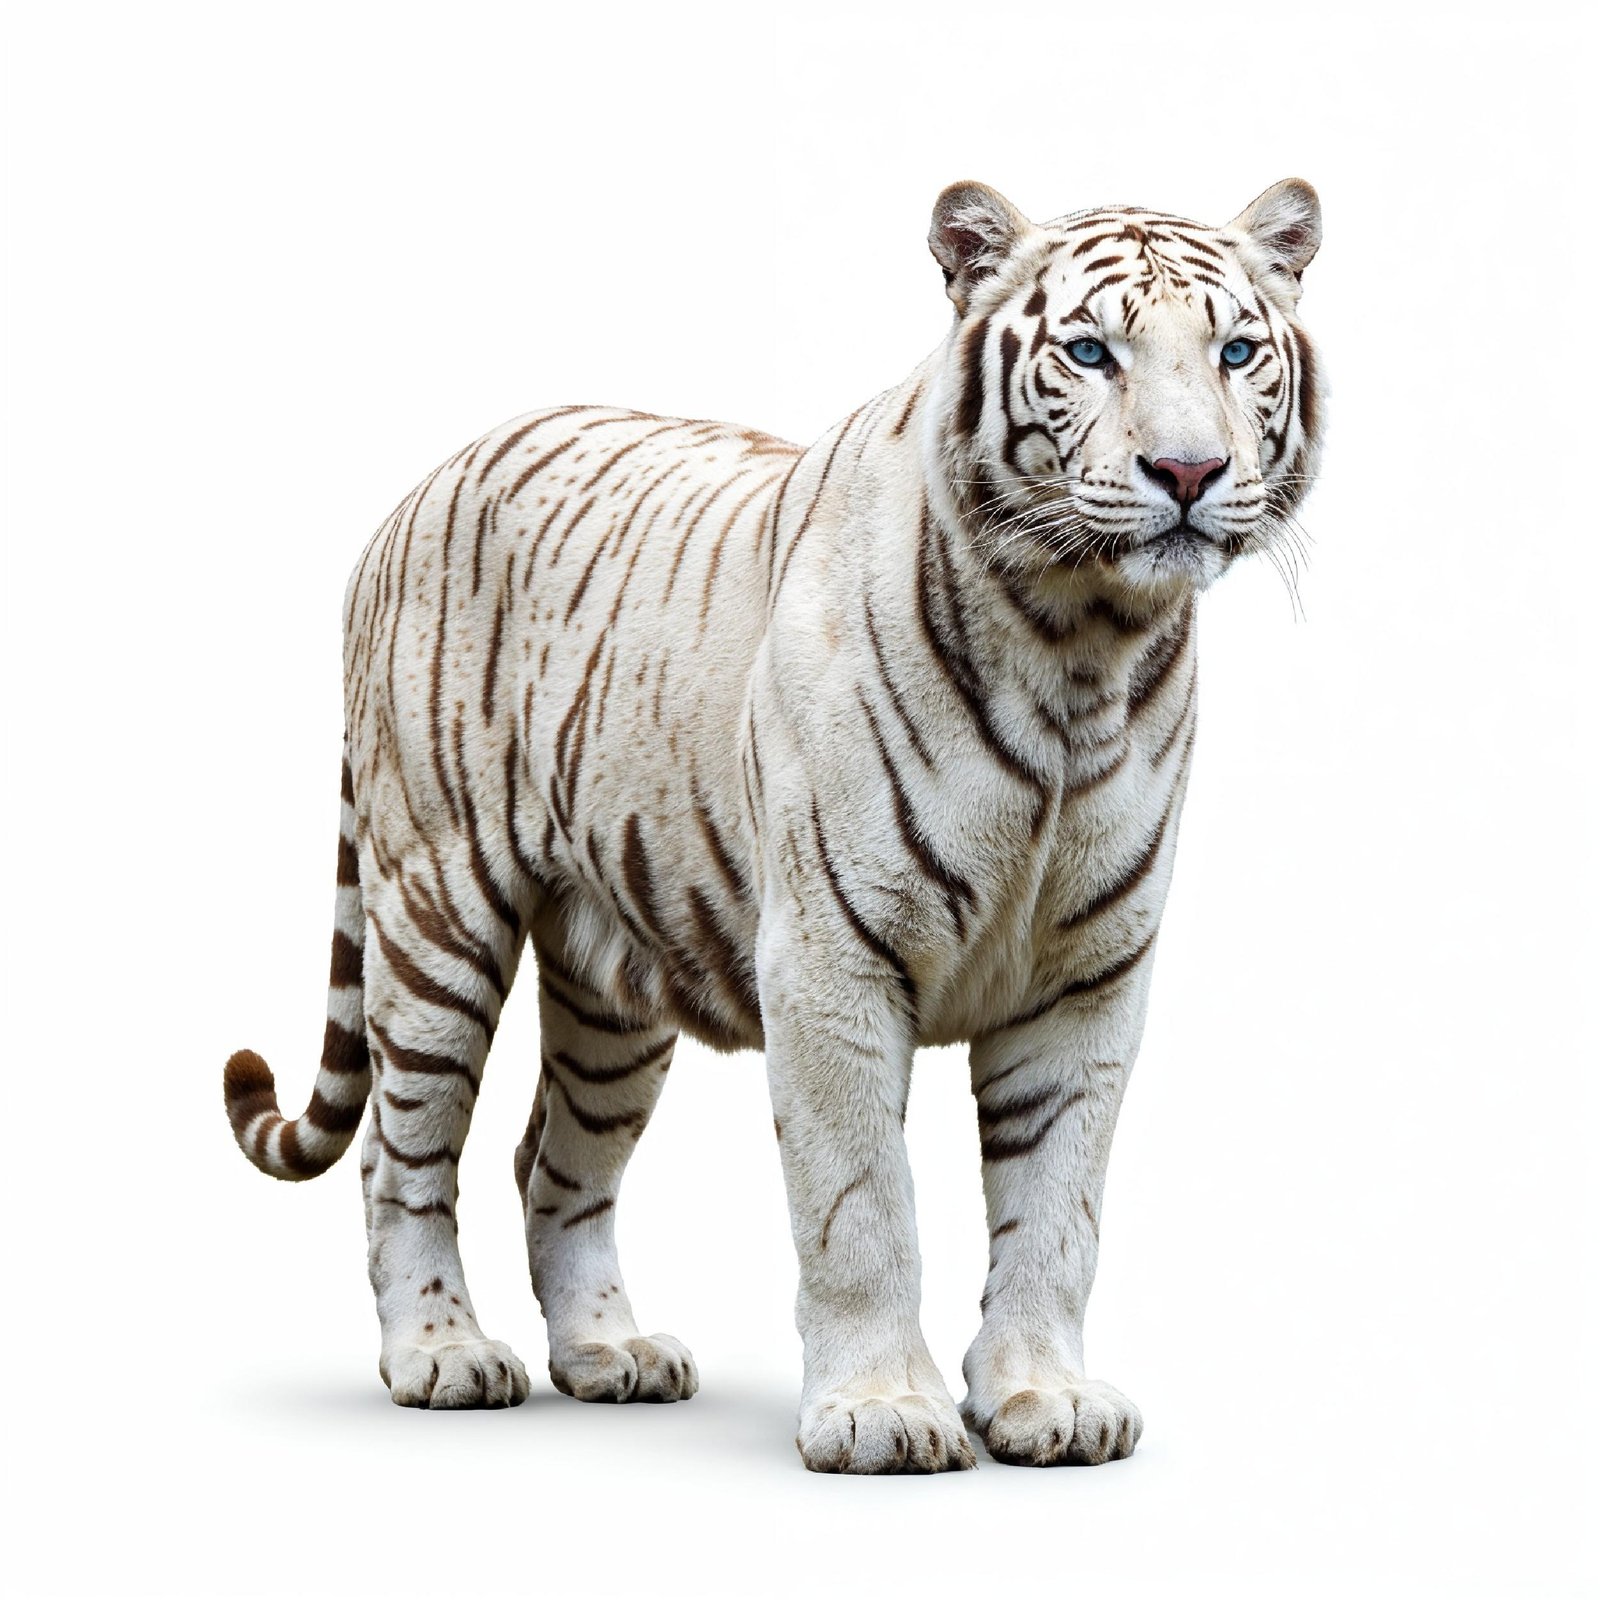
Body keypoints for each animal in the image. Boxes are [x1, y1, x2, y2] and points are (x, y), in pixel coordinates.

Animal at [223, 176, 1323, 1473]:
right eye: (1092, 352)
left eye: (1236, 352)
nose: (1189, 470)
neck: (1081, 643)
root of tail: (417, 488)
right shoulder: (832, 955)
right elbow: (861, 1204)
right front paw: (881, 1412)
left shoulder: (1089, 974)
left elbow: (1059, 1205)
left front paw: (1042, 1398)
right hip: (434, 910)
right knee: (405, 1152)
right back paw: (442, 1355)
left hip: (612, 985)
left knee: (553, 1160)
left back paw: (610, 1351)